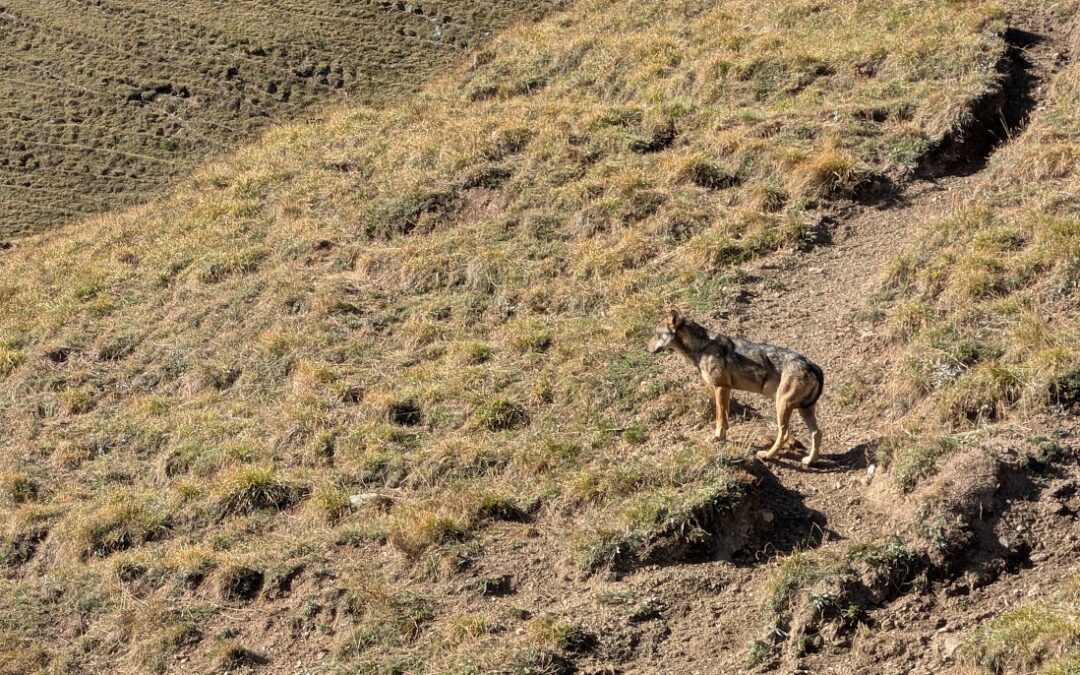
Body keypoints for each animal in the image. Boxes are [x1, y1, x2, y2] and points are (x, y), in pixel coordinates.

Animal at [646, 308, 824, 465]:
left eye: (656, 334)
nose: (645, 349)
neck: (702, 347)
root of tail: (811, 365)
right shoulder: (726, 389)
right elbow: (724, 417)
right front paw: (723, 436)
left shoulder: (721, 387)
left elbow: (719, 417)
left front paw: (717, 438)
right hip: (803, 409)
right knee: (817, 433)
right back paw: (810, 461)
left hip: (782, 405)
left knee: (785, 435)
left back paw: (767, 455)